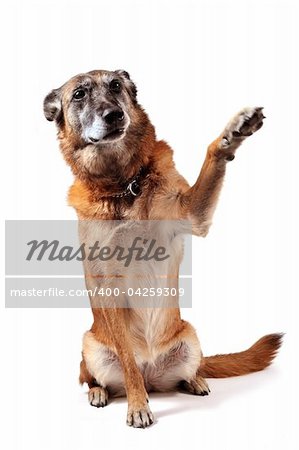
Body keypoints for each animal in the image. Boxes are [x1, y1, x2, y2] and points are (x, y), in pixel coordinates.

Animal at [43, 70, 282, 428]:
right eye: (80, 94)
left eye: (115, 86)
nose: (114, 115)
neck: (122, 186)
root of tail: (153, 375)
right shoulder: (107, 285)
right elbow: (127, 364)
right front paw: (137, 406)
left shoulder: (193, 215)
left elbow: (212, 159)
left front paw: (233, 132)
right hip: (90, 345)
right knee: (93, 377)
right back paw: (101, 392)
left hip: (190, 337)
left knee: (191, 370)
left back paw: (196, 380)